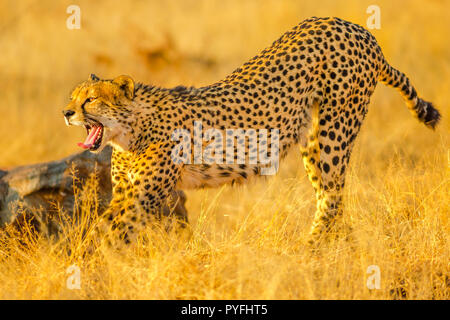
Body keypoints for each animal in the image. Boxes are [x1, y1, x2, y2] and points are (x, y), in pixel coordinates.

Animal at [62, 16, 440, 244]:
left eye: (90, 100)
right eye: (73, 97)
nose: (66, 112)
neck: (130, 131)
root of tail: (355, 27)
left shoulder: (143, 196)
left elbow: (108, 232)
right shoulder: (127, 192)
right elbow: (104, 226)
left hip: (334, 132)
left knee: (332, 196)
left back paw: (310, 251)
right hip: (313, 140)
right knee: (330, 196)